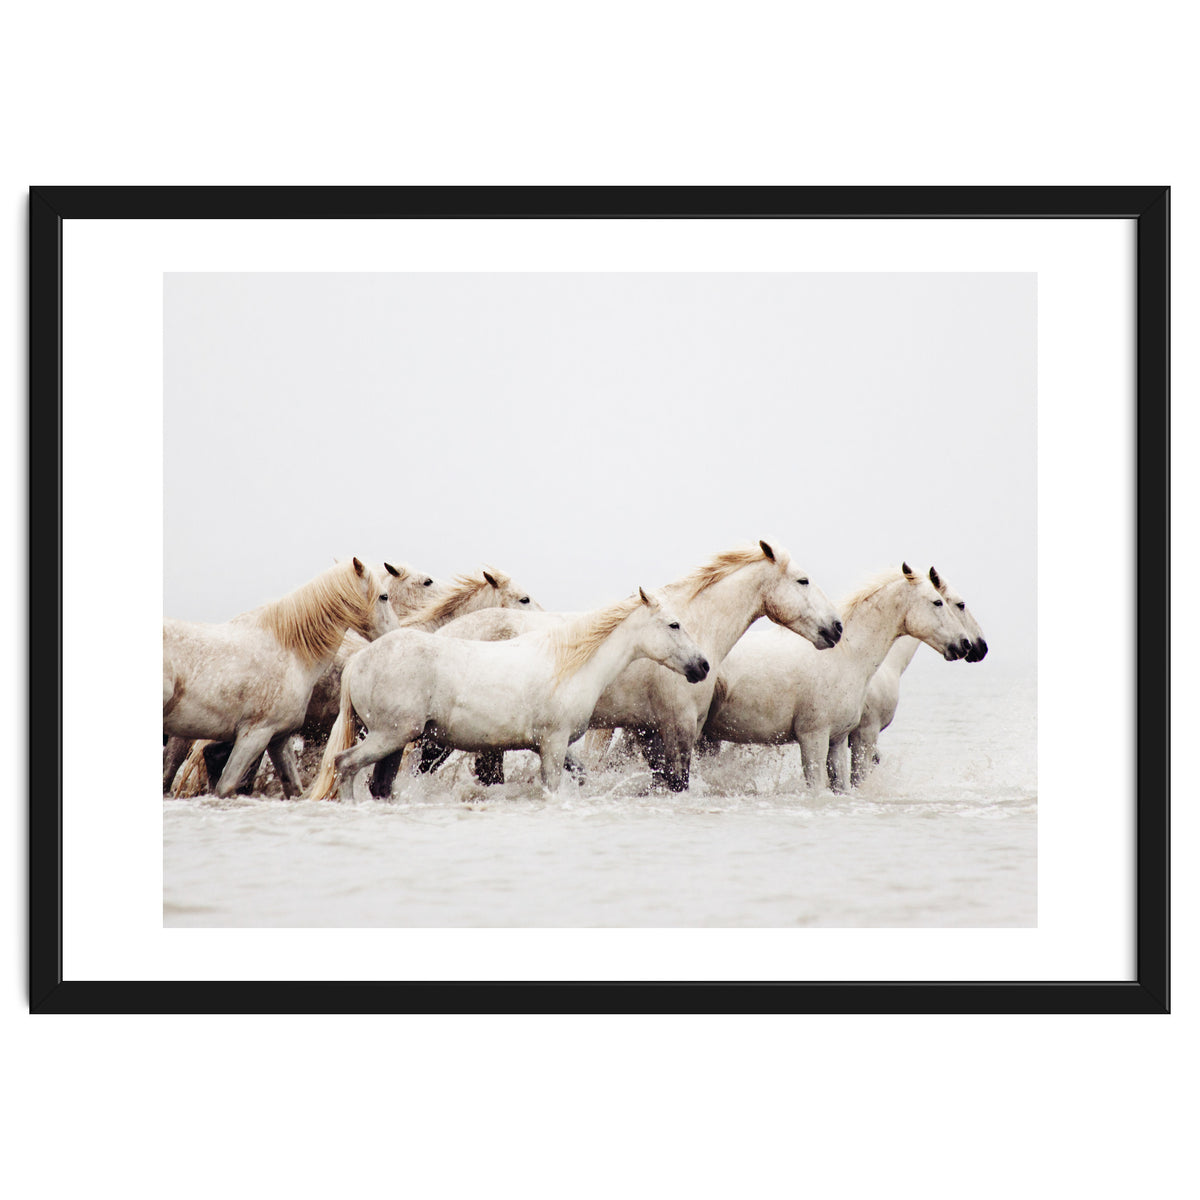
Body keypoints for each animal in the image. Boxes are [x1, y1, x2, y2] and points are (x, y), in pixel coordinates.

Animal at [309, 588, 710, 799]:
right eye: (674, 625)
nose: (702, 666)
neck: (568, 664)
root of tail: (360, 659)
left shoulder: (551, 747)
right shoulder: (553, 744)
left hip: (395, 741)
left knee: (378, 783)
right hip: (390, 736)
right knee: (345, 765)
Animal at [421, 541, 843, 792]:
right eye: (803, 580)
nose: (836, 628)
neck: (693, 626)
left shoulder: (649, 731)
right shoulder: (677, 728)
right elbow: (676, 781)